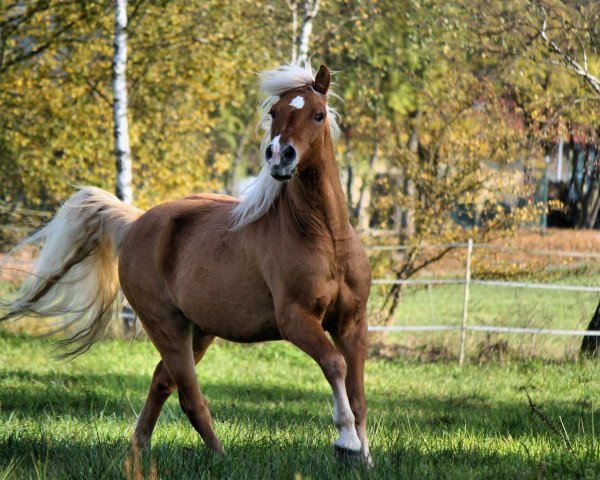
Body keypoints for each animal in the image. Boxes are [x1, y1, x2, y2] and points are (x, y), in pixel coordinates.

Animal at [2, 63, 372, 464]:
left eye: (318, 115)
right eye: (274, 113)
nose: (279, 156)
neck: (324, 238)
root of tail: (135, 223)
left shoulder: (352, 323)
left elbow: (357, 391)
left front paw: (364, 458)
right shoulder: (296, 320)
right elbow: (335, 365)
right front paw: (346, 442)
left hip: (199, 330)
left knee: (162, 381)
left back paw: (139, 450)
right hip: (166, 326)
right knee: (189, 395)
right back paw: (220, 458)